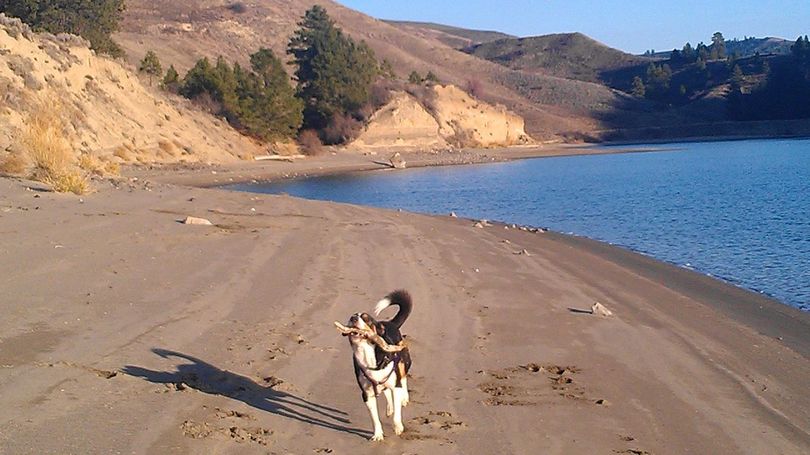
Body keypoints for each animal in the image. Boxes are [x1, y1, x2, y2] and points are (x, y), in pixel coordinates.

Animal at [344, 288, 414, 442]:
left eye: (366, 319)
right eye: (352, 317)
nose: (353, 318)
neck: (367, 354)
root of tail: (390, 324)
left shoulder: (395, 386)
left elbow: (397, 414)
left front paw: (398, 427)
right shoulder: (367, 394)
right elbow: (374, 418)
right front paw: (377, 435)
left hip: (403, 363)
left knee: (403, 379)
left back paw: (404, 398)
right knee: (386, 392)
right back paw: (389, 408)